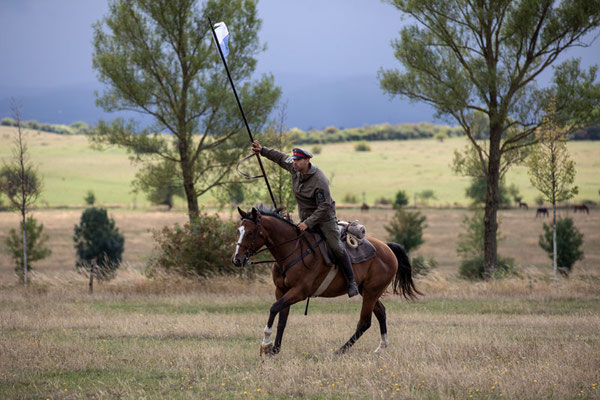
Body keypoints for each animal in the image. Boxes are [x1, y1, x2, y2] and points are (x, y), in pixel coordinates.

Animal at [231, 208, 422, 354]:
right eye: (239, 231)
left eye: (249, 233)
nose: (236, 260)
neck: (292, 251)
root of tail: (387, 247)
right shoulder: (281, 291)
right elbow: (282, 318)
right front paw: (275, 349)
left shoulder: (299, 292)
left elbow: (274, 309)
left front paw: (265, 344)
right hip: (368, 292)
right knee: (381, 312)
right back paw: (381, 347)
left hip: (371, 292)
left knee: (364, 322)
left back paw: (340, 350)